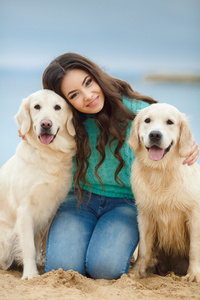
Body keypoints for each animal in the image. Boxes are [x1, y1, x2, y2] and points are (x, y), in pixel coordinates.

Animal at [0, 89, 76, 278]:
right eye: (36, 107)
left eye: (57, 107)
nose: (46, 124)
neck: (47, 155)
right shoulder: (25, 209)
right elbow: (29, 246)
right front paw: (30, 274)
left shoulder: (51, 208)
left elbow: (39, 242)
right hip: (5, 236)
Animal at [128, 102, 200, 282]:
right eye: (147, 120)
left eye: (170, 122)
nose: (155, 135)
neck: (160, 171)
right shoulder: (145, 214)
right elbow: (144, 247)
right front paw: (137, 270)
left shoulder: (195, 215)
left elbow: (195, 248)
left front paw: (194, 274)